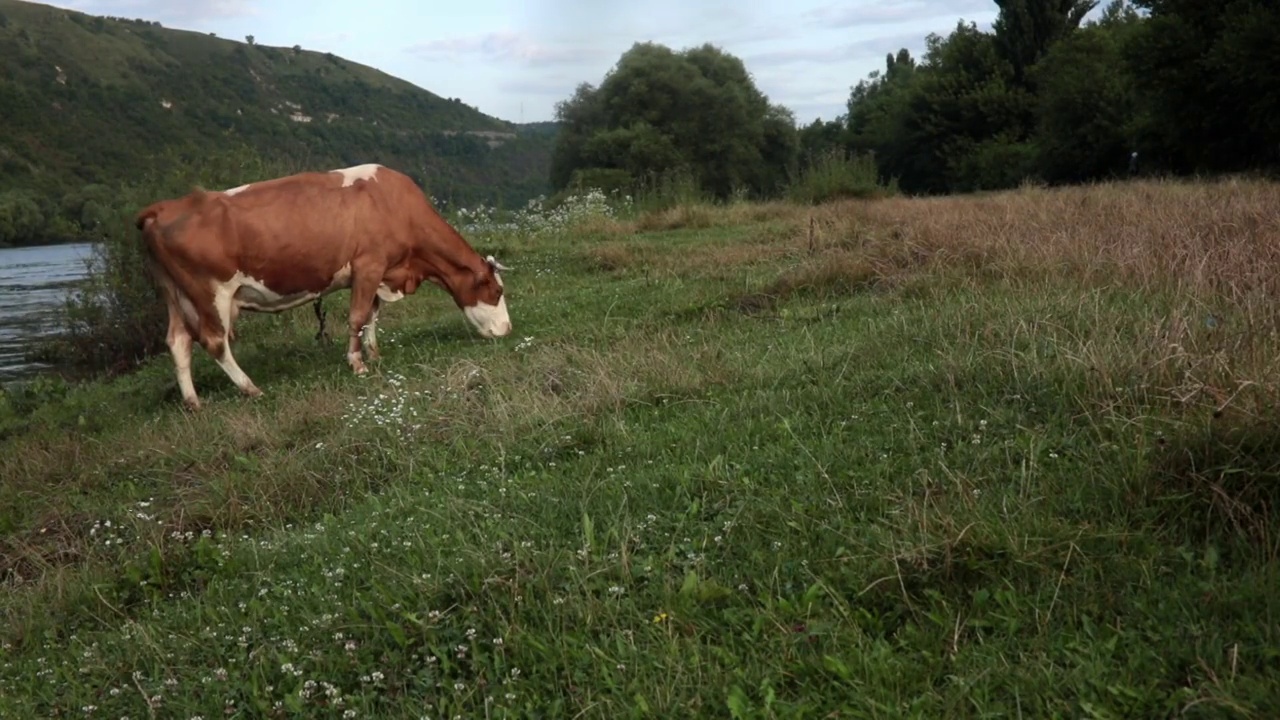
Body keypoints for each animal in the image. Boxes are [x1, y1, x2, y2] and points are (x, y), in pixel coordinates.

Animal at [131, 163, 509, 409]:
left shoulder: (378, 272)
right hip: (211, 293)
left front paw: (374, 352)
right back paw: (251, 389)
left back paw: (193, 402)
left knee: (178, 342)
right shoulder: (369, 265)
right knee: (213, 341)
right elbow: (358, 316)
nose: (507, 329)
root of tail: (162, 208)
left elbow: (372, 314)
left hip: (175, 295)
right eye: (497, 291)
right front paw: (357, 364)